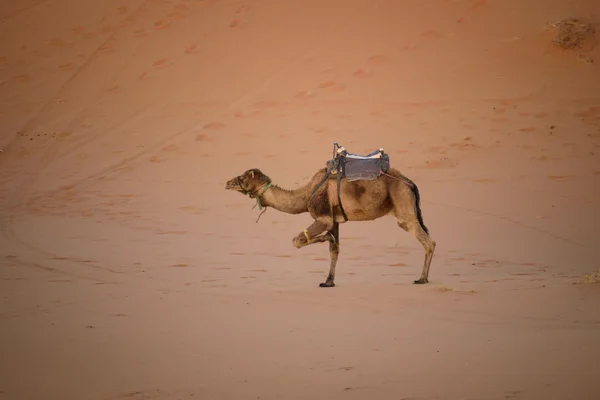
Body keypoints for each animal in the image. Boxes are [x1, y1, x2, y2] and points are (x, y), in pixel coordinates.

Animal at [225, 154, 436, 288]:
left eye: (242, 178)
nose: (227, 183)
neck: (305, 195)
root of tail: (410, 183)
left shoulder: (324, 217)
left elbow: (297, 240)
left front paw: (326, 239)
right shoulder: (335, 220)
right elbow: (334, 250)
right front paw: (328, 281)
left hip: (403, 206)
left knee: (427, 240)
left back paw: (422, 279)